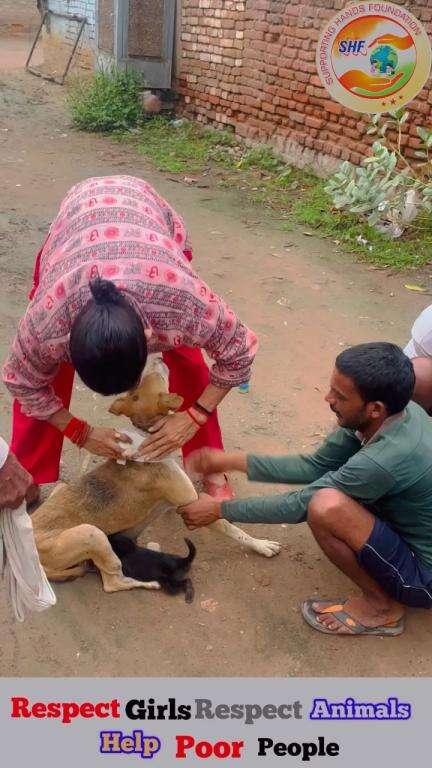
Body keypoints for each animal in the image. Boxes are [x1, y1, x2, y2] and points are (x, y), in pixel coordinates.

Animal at [30, 356, 280, 592]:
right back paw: (147, 583)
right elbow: (234, 529)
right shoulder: (193, 505)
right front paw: (262, 545)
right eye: (157, 376)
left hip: (63, 489)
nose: (159, 358)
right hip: (92, 534)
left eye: (141, 381)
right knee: (111, 583)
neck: (145, 435)